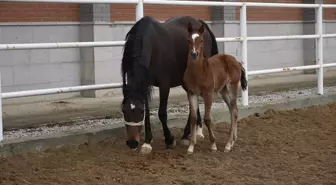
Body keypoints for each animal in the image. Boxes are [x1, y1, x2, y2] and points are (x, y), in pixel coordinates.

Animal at [184, 22, 247, 155]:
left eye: (201, 40)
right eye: (188, 40)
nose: (194, 54)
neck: (199, 72)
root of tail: (236, 61)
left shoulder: (208, 94)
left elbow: (207, 118)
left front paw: (213, 145)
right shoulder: (191, 93)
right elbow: (193, 118)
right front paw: (191, 146)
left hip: (232, 86)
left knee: (234, 112)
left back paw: (228, 145)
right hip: (223, 91)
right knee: (233, 110)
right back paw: (233, 140)